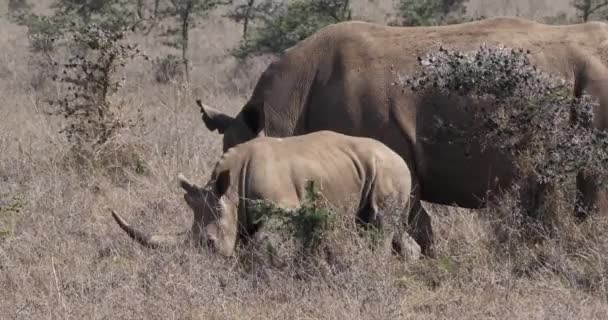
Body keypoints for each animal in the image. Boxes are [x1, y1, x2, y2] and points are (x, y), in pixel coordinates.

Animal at [110, 131, 422, 258]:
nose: (196, 264)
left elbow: (261, 243)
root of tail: (401, 158)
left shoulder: (285, 209)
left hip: (388, 169)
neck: (230, 190)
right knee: (390, 225)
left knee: (379, 224)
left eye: (210, 243)